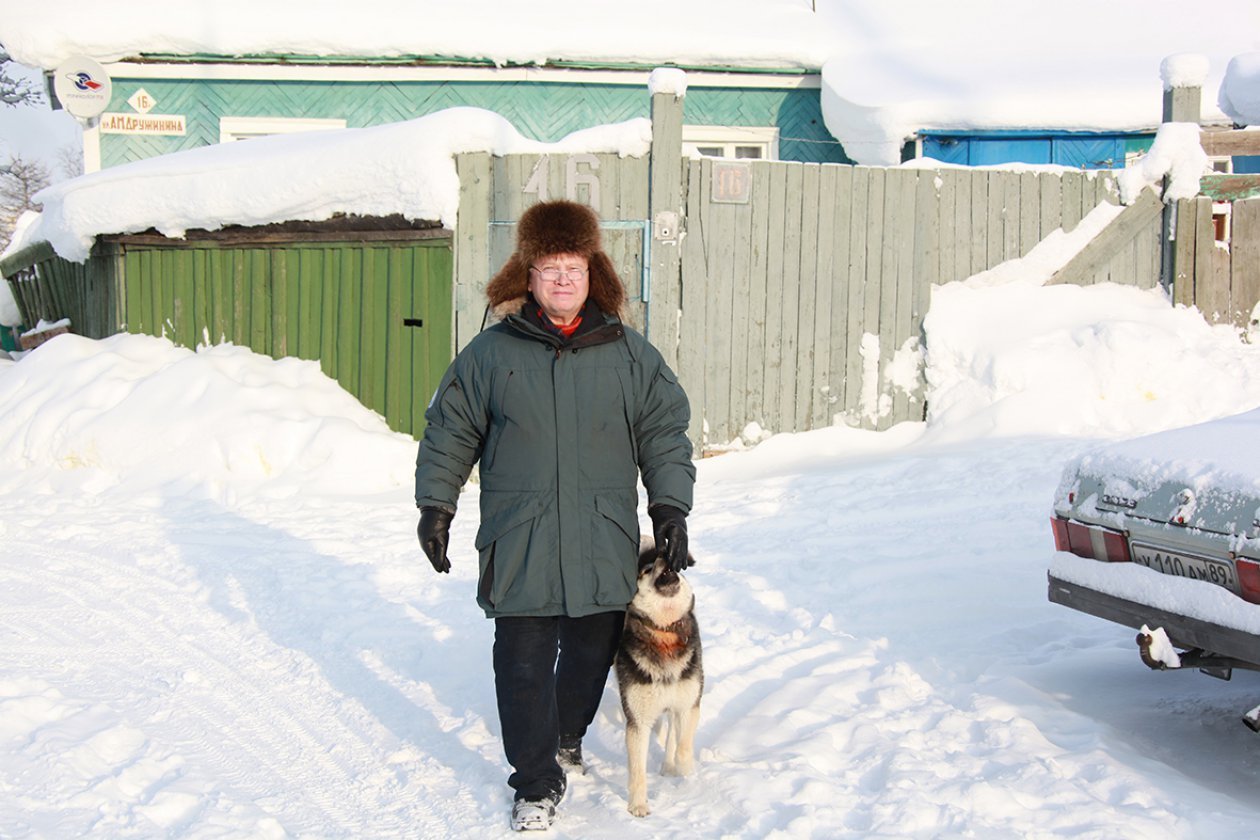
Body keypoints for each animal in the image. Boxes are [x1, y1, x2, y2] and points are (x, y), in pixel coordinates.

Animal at [614, 541, 705, 816]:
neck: (664, 632)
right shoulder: (637, 721)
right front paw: (638, 805)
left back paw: (669, 765)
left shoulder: (688, 704)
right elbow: (637, 771)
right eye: (647, 570)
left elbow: (683, 747)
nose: (665, 553)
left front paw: (687, 776)